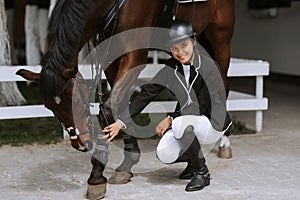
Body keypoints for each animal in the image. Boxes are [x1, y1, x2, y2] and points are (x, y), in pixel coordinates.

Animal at [16, 0, 236, 198]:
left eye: (76, 101)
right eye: (49, 106)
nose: (80, 144)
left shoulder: (134, 54)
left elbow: (107, 108)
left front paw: (97, 176)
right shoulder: (111, 55)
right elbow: (119, 106)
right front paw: (127, 164)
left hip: (220, 38)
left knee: (222, 84)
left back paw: (224, 142)